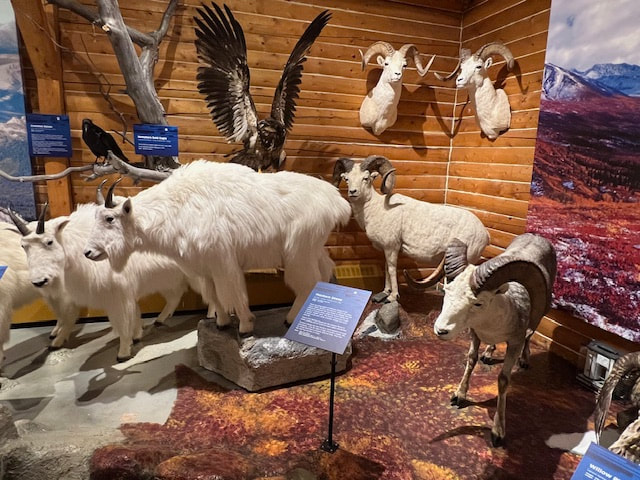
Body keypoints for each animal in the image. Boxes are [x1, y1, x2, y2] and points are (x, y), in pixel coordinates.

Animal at [10, 202, 203, 362]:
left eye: (49, 241)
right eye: (23, 246)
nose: (39, 281)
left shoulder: (119, 296)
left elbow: (123, 322)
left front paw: (124, 352)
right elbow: (134, 315)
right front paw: (137, 336)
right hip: (169, 280)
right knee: (174, 297)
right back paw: (160, 320)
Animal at [82, 160, 351, 336]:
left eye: (109, 218)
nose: (88, 253)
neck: (177, 207)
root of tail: (337, 201)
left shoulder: (224, 264)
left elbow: (234, 294)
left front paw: (245, 326)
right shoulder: (205, 269)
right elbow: (213, 297)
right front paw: (222, 323)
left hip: (298, 253)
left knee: (308, 284)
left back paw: (291, 319)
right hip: (313, 249)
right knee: (324, 273)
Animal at [332, 155, 489, 304]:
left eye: (365, 178)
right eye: (346, 178)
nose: (353, 192)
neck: (375, 209)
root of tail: (485, 233)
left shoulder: (392, 248)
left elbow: (392, 270)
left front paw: (392, 297)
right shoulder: (386, 249)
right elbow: (386, 269)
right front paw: (384, 293)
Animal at [432, 233, 557, 447]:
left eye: (478, 303)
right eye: (447, 291)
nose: (441, 330)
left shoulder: (514, 343)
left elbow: (503, 380)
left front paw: (498, 432)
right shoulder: (475, 334)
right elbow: (471, 360)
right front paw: (459, 396)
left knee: (530, 337)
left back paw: (524, 360)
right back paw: (489, 354)